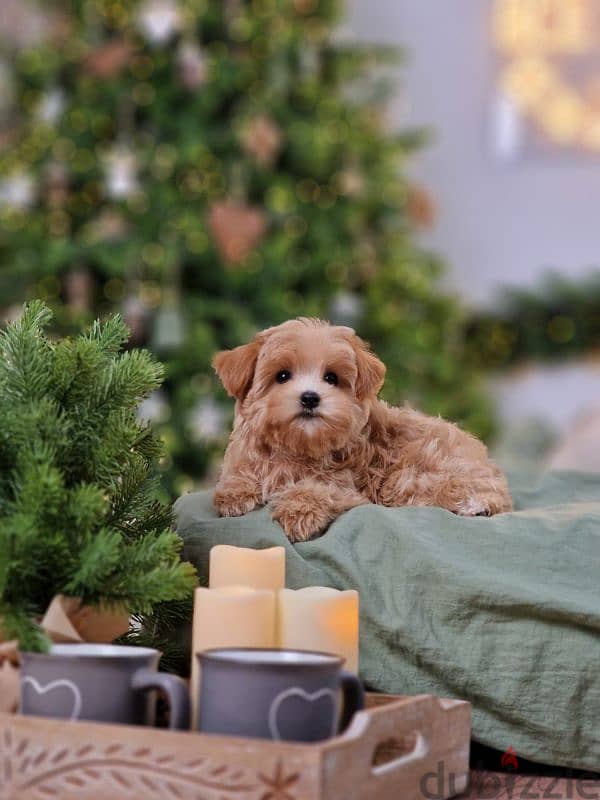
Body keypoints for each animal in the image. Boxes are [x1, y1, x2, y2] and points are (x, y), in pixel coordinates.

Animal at [211, 318, 510, 544]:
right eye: (282, 376)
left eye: (331, 378)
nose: (310, 397)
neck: (298, 446)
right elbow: (239, 474)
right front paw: (234, 493)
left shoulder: (348, 486)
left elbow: (319, 490)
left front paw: (298, 511)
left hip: (409, 477)